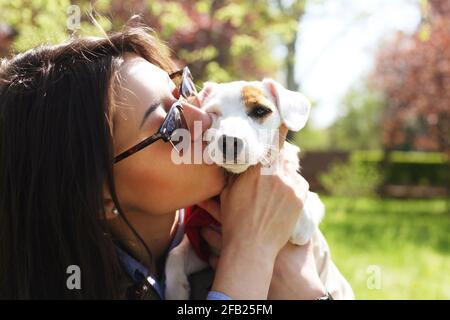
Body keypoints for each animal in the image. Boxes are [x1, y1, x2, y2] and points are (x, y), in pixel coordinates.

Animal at [163, 78, 326, 300]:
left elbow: (305, 212)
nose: (229, 141)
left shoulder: (309, 210)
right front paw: (176, 291)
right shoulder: (203, 244)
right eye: (213, 113)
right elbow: (175, 255)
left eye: (260, 110)